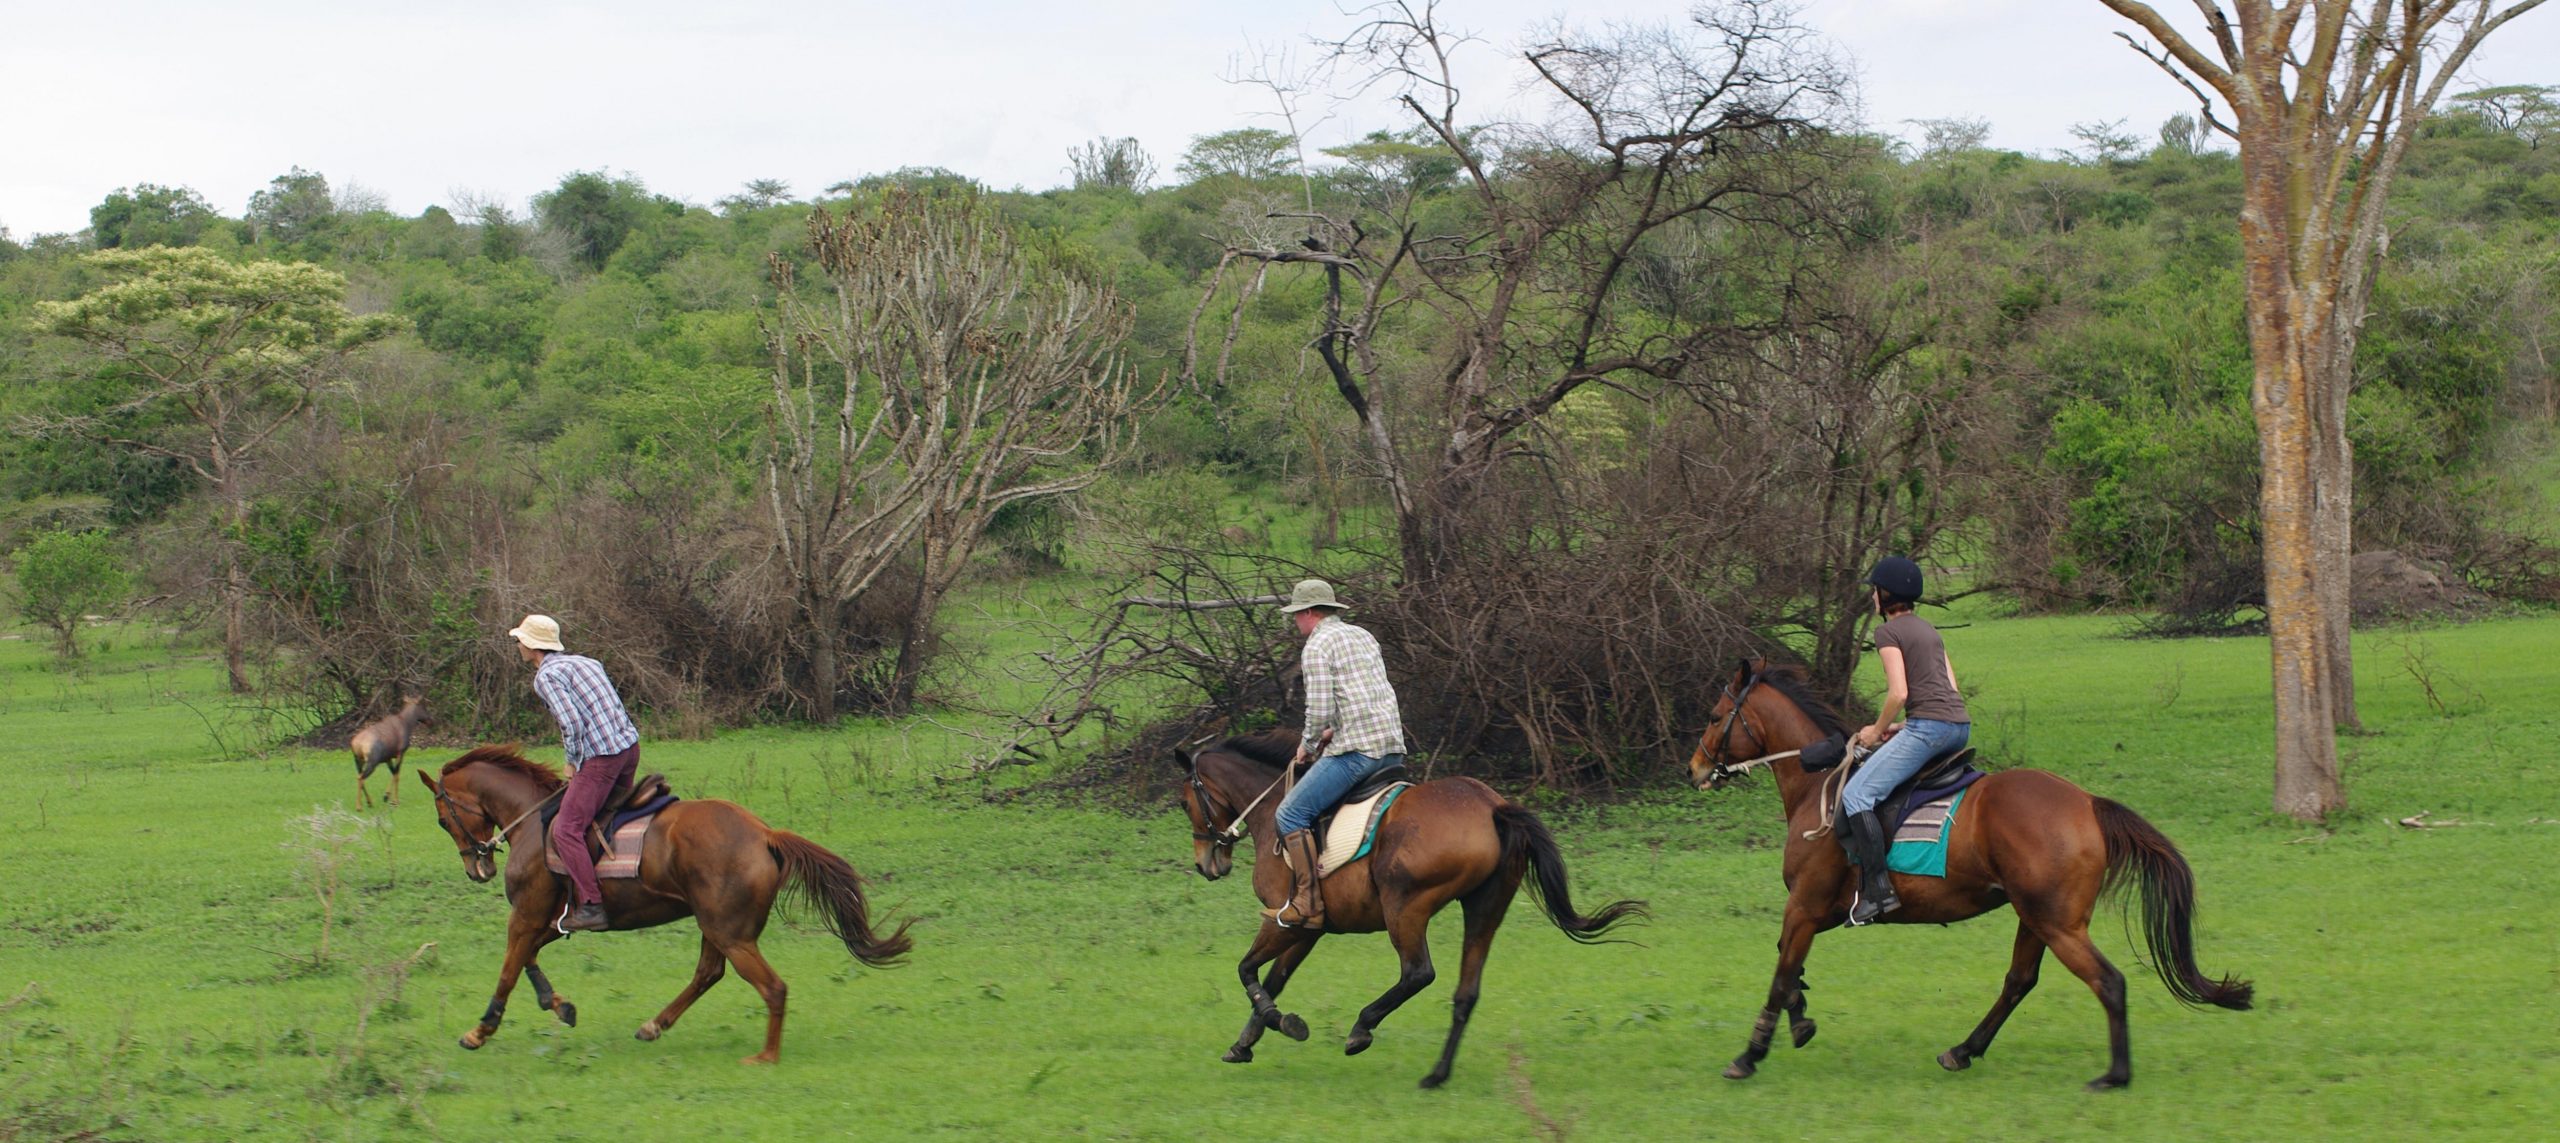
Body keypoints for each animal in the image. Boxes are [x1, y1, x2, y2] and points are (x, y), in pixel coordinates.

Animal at [427, 743, 921, 1066]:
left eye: (442, 819)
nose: (477, 868)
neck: (532, 820)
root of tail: (764, 834)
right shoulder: (548, 920)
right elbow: (528, 959)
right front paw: (560, 1004)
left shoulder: (527, 915)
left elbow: (509, 968)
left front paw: (480, 1030)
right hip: (717, 926)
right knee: (708, 973)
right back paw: (654, 1025)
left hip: (729, 932)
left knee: (771, 987)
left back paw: (765, 1056)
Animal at [1172, 732, 1648, 1091]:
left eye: (1183, 802)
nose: (1206, 864)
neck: (1273, 811)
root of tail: (1493, 807)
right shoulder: (1307, 929)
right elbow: (1274, 978)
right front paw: (1245, 1042)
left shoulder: (1283, 919)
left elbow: (1247, 971)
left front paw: (1280, 1022)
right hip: (1485, 907)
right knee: (1465, 992)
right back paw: (1436, 1075)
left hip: (1405, 907)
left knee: (1418, 972)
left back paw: (1362, 1029)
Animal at [1689, 661, 2252, 1091]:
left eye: (1715, 716)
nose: (1694, 769)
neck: (1819, 787)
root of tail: (2087, 803)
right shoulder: (1820, 912)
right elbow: (1789, 965)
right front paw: (1800, 1016)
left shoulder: (1806, 907)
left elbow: (1780, 973)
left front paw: (1750, 1054)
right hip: (2036, 917)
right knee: (2019, 981)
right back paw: (1963, 1049)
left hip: (2057, 924)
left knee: (2107, 982)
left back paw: (2114, 1075)